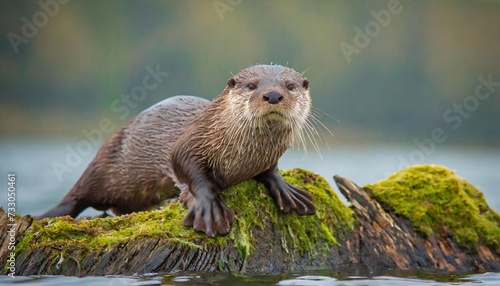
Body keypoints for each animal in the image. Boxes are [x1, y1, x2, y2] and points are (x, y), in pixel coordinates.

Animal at [41, 65, 318, 237]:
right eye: (251, 85)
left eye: (290, 86)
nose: (272, 94)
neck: (243, 157)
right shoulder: (190, 143)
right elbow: (190, 172)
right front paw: (210, 211)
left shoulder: (266, 158)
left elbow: (270, 170)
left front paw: (288, 192)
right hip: (103, 164)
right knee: (75, 198)